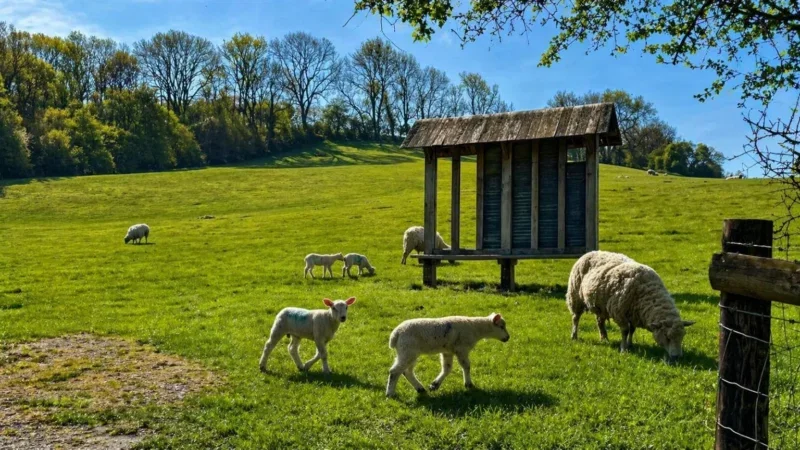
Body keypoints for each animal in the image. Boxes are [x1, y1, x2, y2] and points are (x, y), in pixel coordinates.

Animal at [566, 251, 695, 363]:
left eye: (682, 337)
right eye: (667, 337)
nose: (677, 357)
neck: (648, 292)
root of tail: (591, 252)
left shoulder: (633, 314)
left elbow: (632, 330)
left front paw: (630, 344)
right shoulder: (619, 312)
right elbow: (625, 331)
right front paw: (623, 349)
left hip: (601, 306)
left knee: (599, 321)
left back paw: (604, 338)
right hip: (575, 296)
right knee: (575, 318)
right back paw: (574, 336)